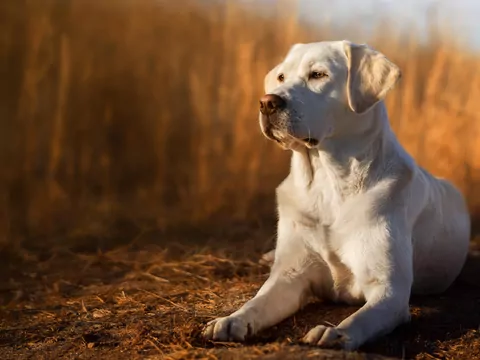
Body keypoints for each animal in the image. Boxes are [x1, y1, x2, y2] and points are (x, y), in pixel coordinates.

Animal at [202, 40, 468, 350]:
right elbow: (257, 302)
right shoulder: (290, 275)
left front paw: (334, 333)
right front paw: (231, 320)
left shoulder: (389, 290)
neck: (327, 183)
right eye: (281, 77)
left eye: (318, 74)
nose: (267, 102)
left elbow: (361, 318)